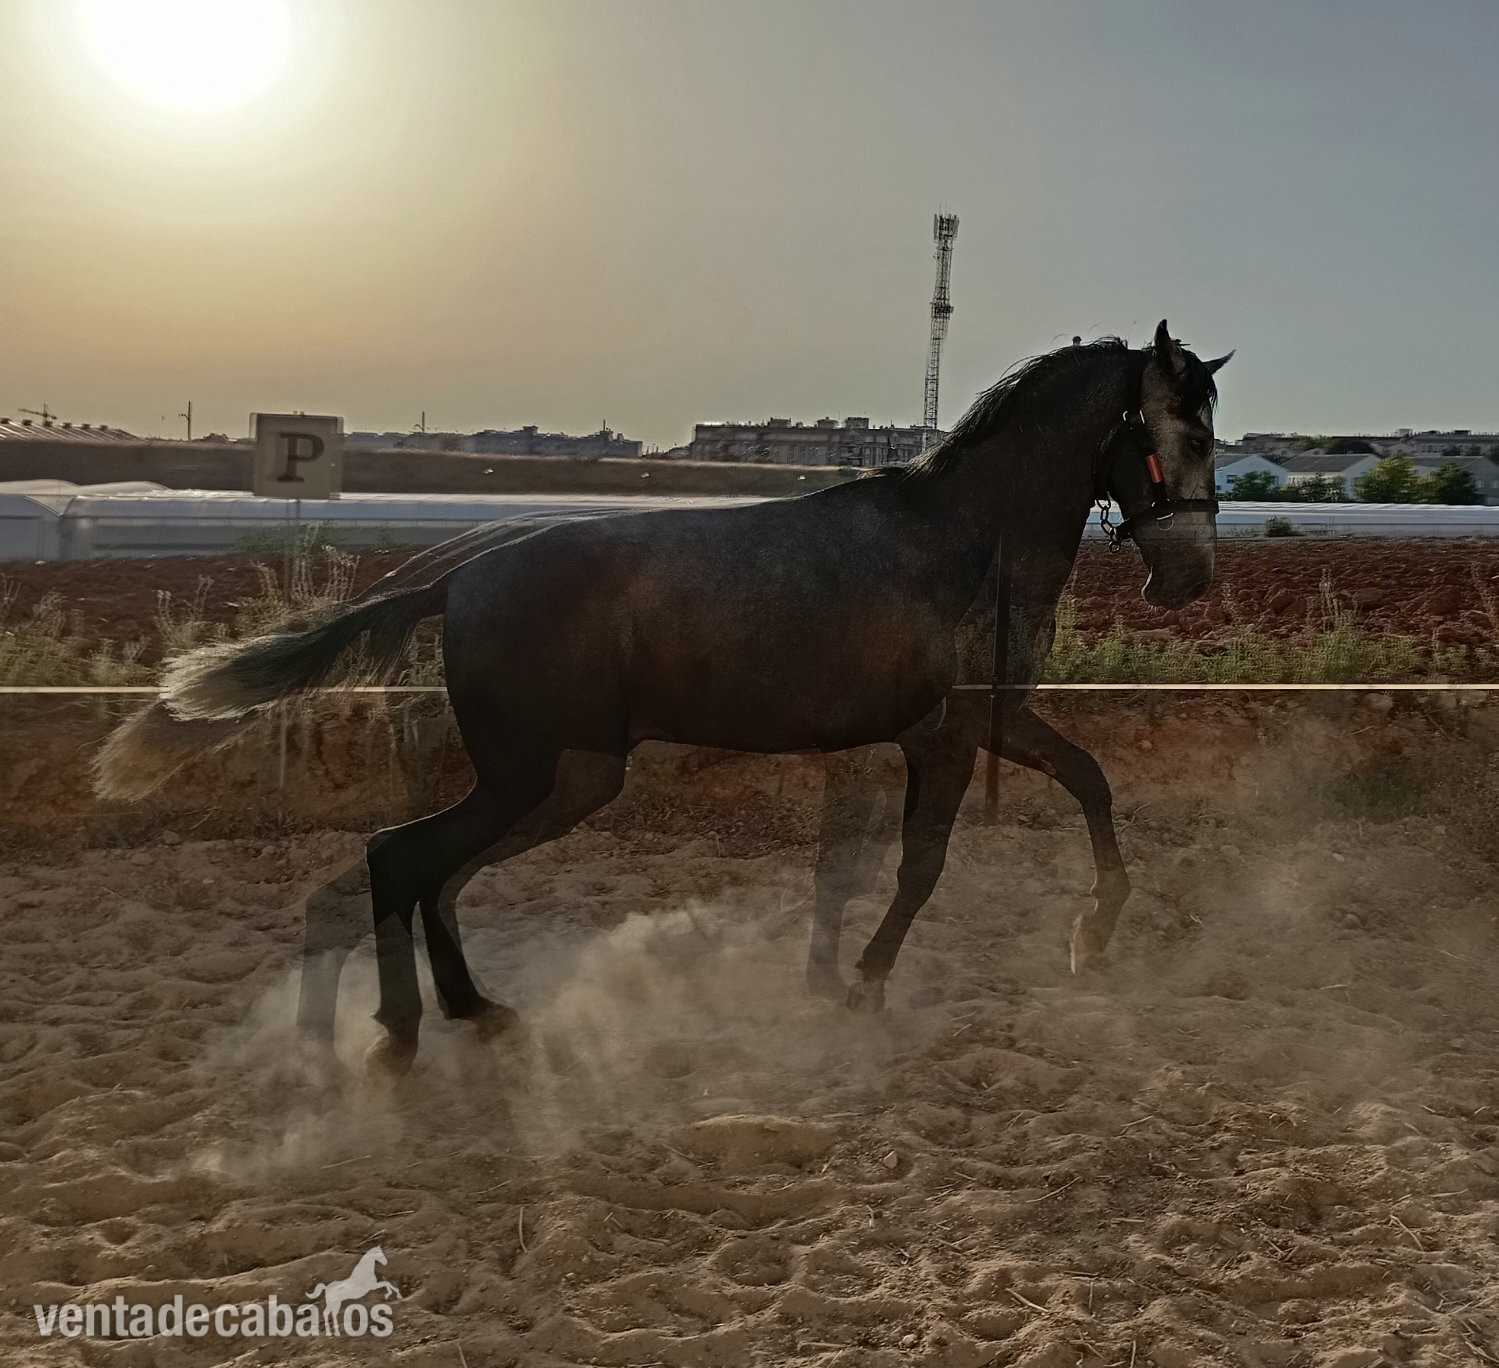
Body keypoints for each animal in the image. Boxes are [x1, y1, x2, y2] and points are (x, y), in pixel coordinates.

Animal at [96, 321, 1229, 1074]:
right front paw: (872, 983)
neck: (963, 543)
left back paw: (459, 1014)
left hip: (564, 781)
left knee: (426, 875)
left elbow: (1078, 787)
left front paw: (1085, 936)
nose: (1187, 580)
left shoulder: (972, 727)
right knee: (400, 861)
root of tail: (462, 578)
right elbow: (923, 865)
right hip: (537, 779)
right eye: (1186, 433)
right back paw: (412, 1032)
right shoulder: (949, 735)